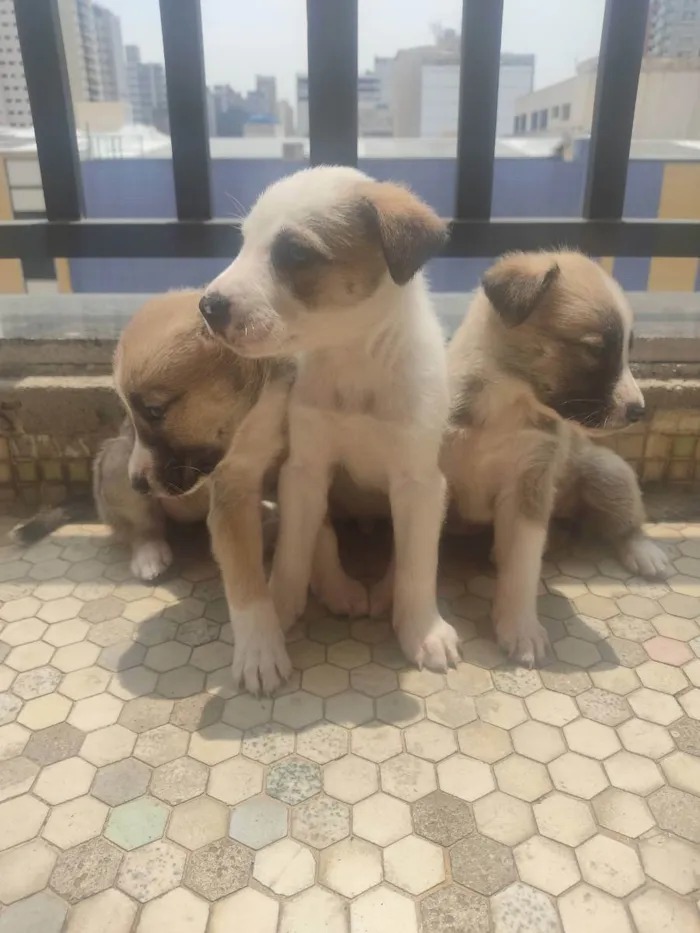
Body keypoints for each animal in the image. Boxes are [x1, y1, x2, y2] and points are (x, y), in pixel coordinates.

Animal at [440, 251, 668, 668]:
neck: (507, 405)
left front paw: (520, 630)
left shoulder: (530, 484)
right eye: (595, 348)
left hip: (609, 472)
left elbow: (523, 568)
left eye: (628, 349)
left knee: (625, 521)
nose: (638, 411)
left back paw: (644, 552)